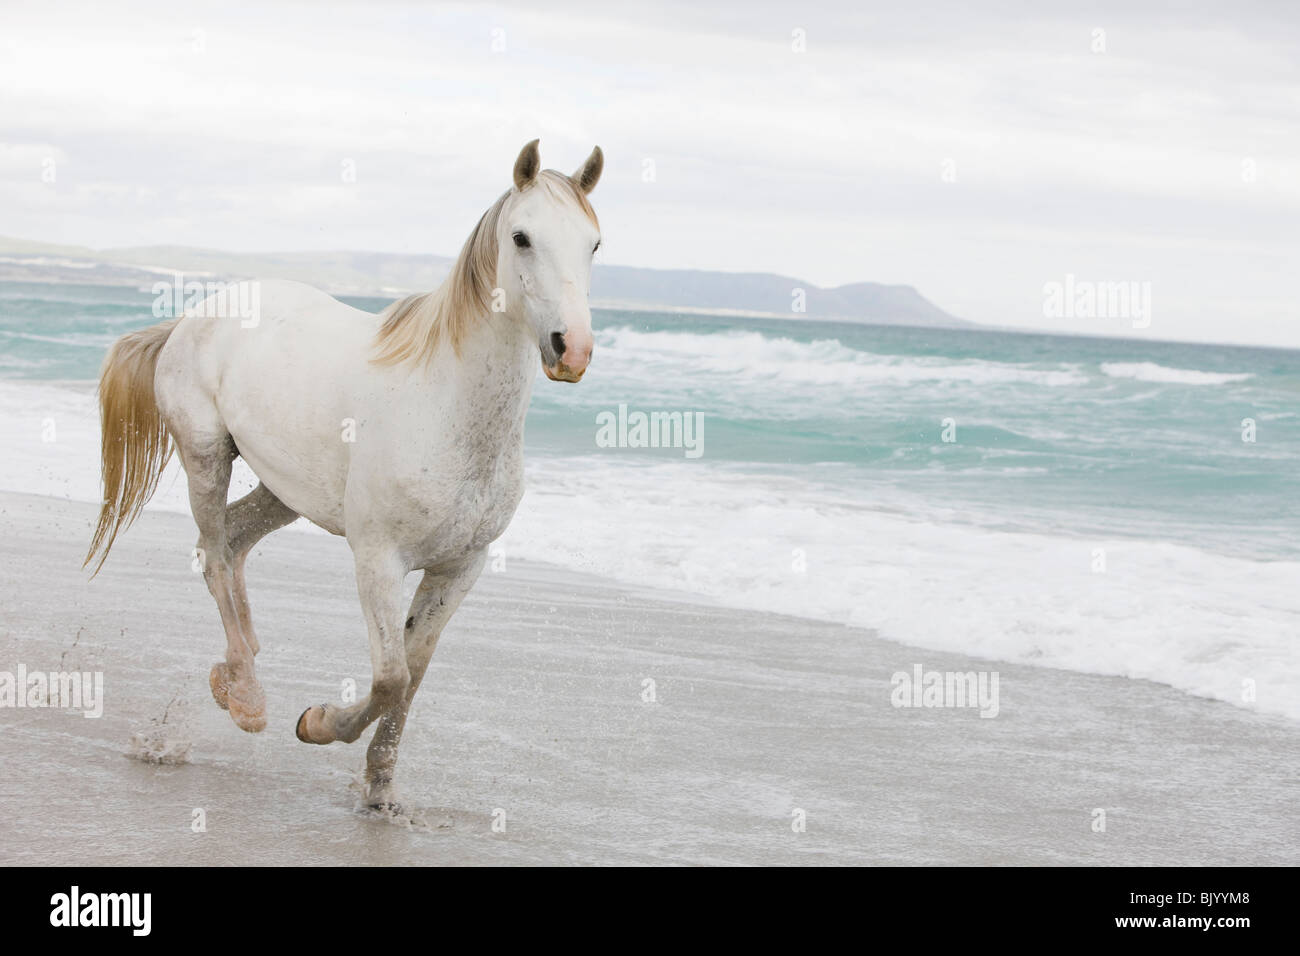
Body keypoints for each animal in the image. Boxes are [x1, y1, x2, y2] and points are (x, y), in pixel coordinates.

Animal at [86, 140, 603, 806]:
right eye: (522, 237)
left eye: (593, 244)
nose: (572, 349)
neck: (446, 405)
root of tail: (194, 316)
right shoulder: (378, 559)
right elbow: (390, 677)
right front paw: (317, 723)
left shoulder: (460, 567)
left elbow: (416, 672)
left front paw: (381, 788)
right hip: (205, 456)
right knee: (216, 552)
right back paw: (247, 697)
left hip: (285, 491)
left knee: (230, 540)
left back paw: (233, 671)